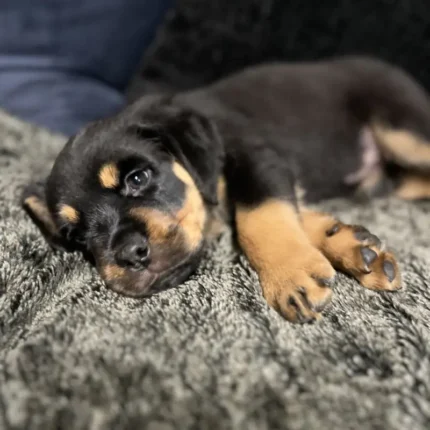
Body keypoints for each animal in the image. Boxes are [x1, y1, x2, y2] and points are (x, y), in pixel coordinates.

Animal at [23, 55, 430, 320]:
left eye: (137, 178)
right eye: (76, 236)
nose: (129, 255)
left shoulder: (257, 156)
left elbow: (259, 215)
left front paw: (291, 274)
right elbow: (291, 211)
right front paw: (348, 243)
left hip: (404, 129)